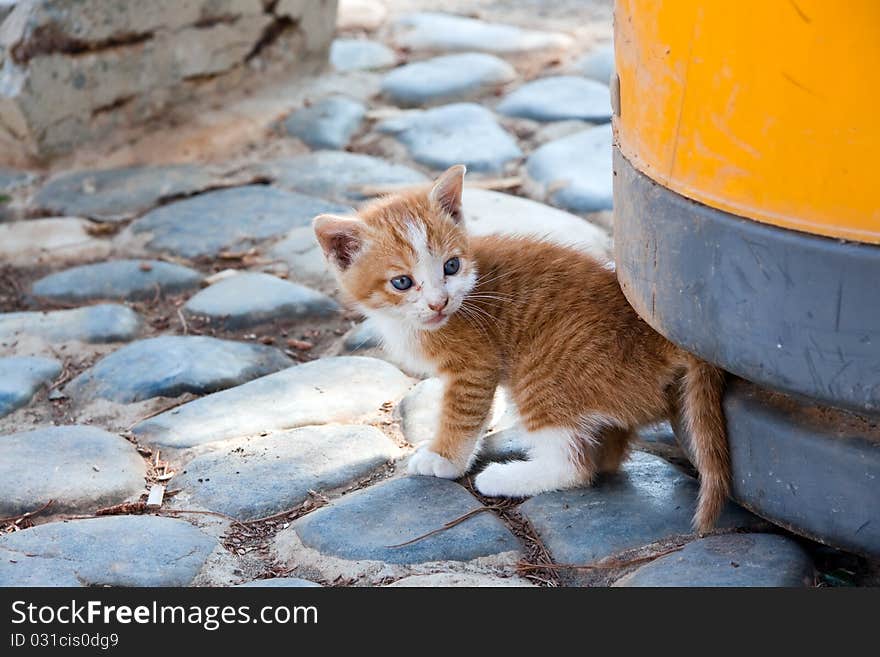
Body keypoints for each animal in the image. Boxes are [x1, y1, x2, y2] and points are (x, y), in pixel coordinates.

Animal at [312, 165, 732, 532]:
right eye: (401, 282)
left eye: (451, 266)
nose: (439, 303)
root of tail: (656, 334)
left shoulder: (475, 364)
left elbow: (462, 414)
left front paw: (444, 458)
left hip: (542, 372)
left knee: (573, 468)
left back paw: (506, 477)